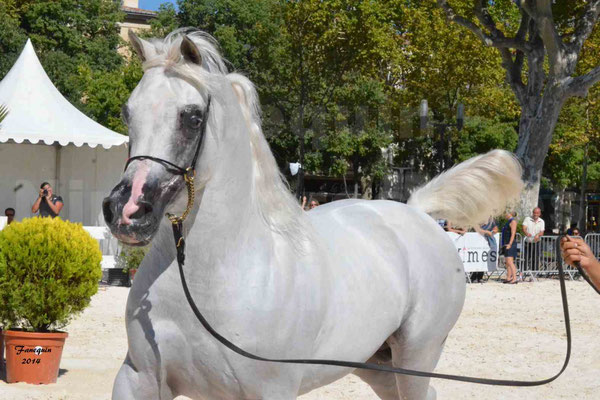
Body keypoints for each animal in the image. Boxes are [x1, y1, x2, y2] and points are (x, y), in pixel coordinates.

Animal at [104, 28, 524, 400]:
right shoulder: (137, 380)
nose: (128, 211)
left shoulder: (271, 391)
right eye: (128, 112)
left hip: (416, 357)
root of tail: (418, 213)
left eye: (191, 117)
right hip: (376, 363)